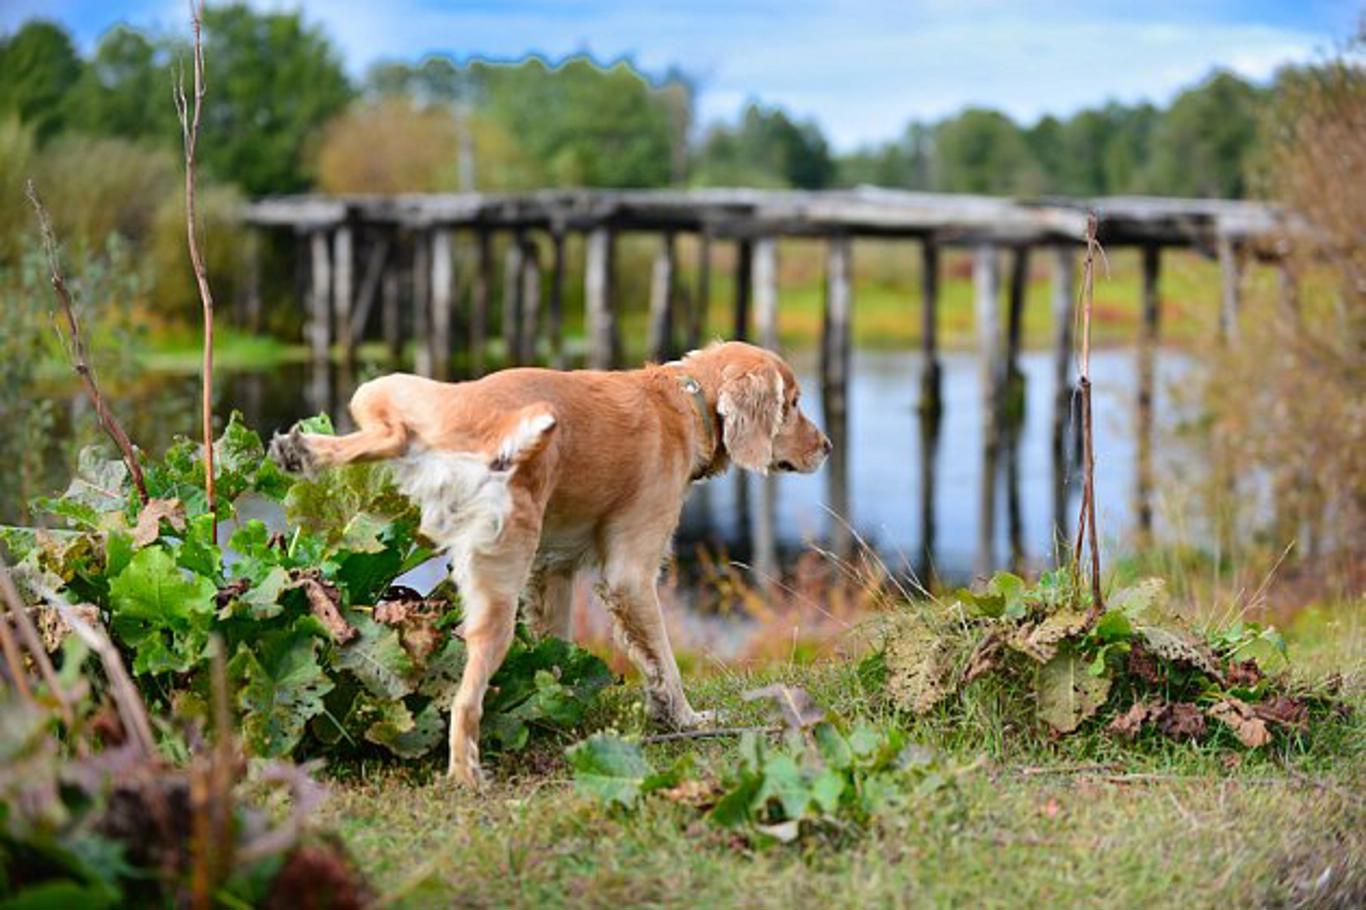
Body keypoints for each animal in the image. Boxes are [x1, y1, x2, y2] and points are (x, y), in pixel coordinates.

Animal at [263, 336, 819, 781]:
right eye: (791, 404)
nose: (828, 446)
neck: (683, 399)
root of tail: (481, 434)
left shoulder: (554, 571)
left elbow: (559, 647)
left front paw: (558, 703)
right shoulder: (630, 575)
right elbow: (663, 660)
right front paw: (683, 718)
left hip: (389, 389)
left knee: (389, 432)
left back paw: (302, 450)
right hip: (498, 590)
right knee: (465, 701)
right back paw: (466, 775)